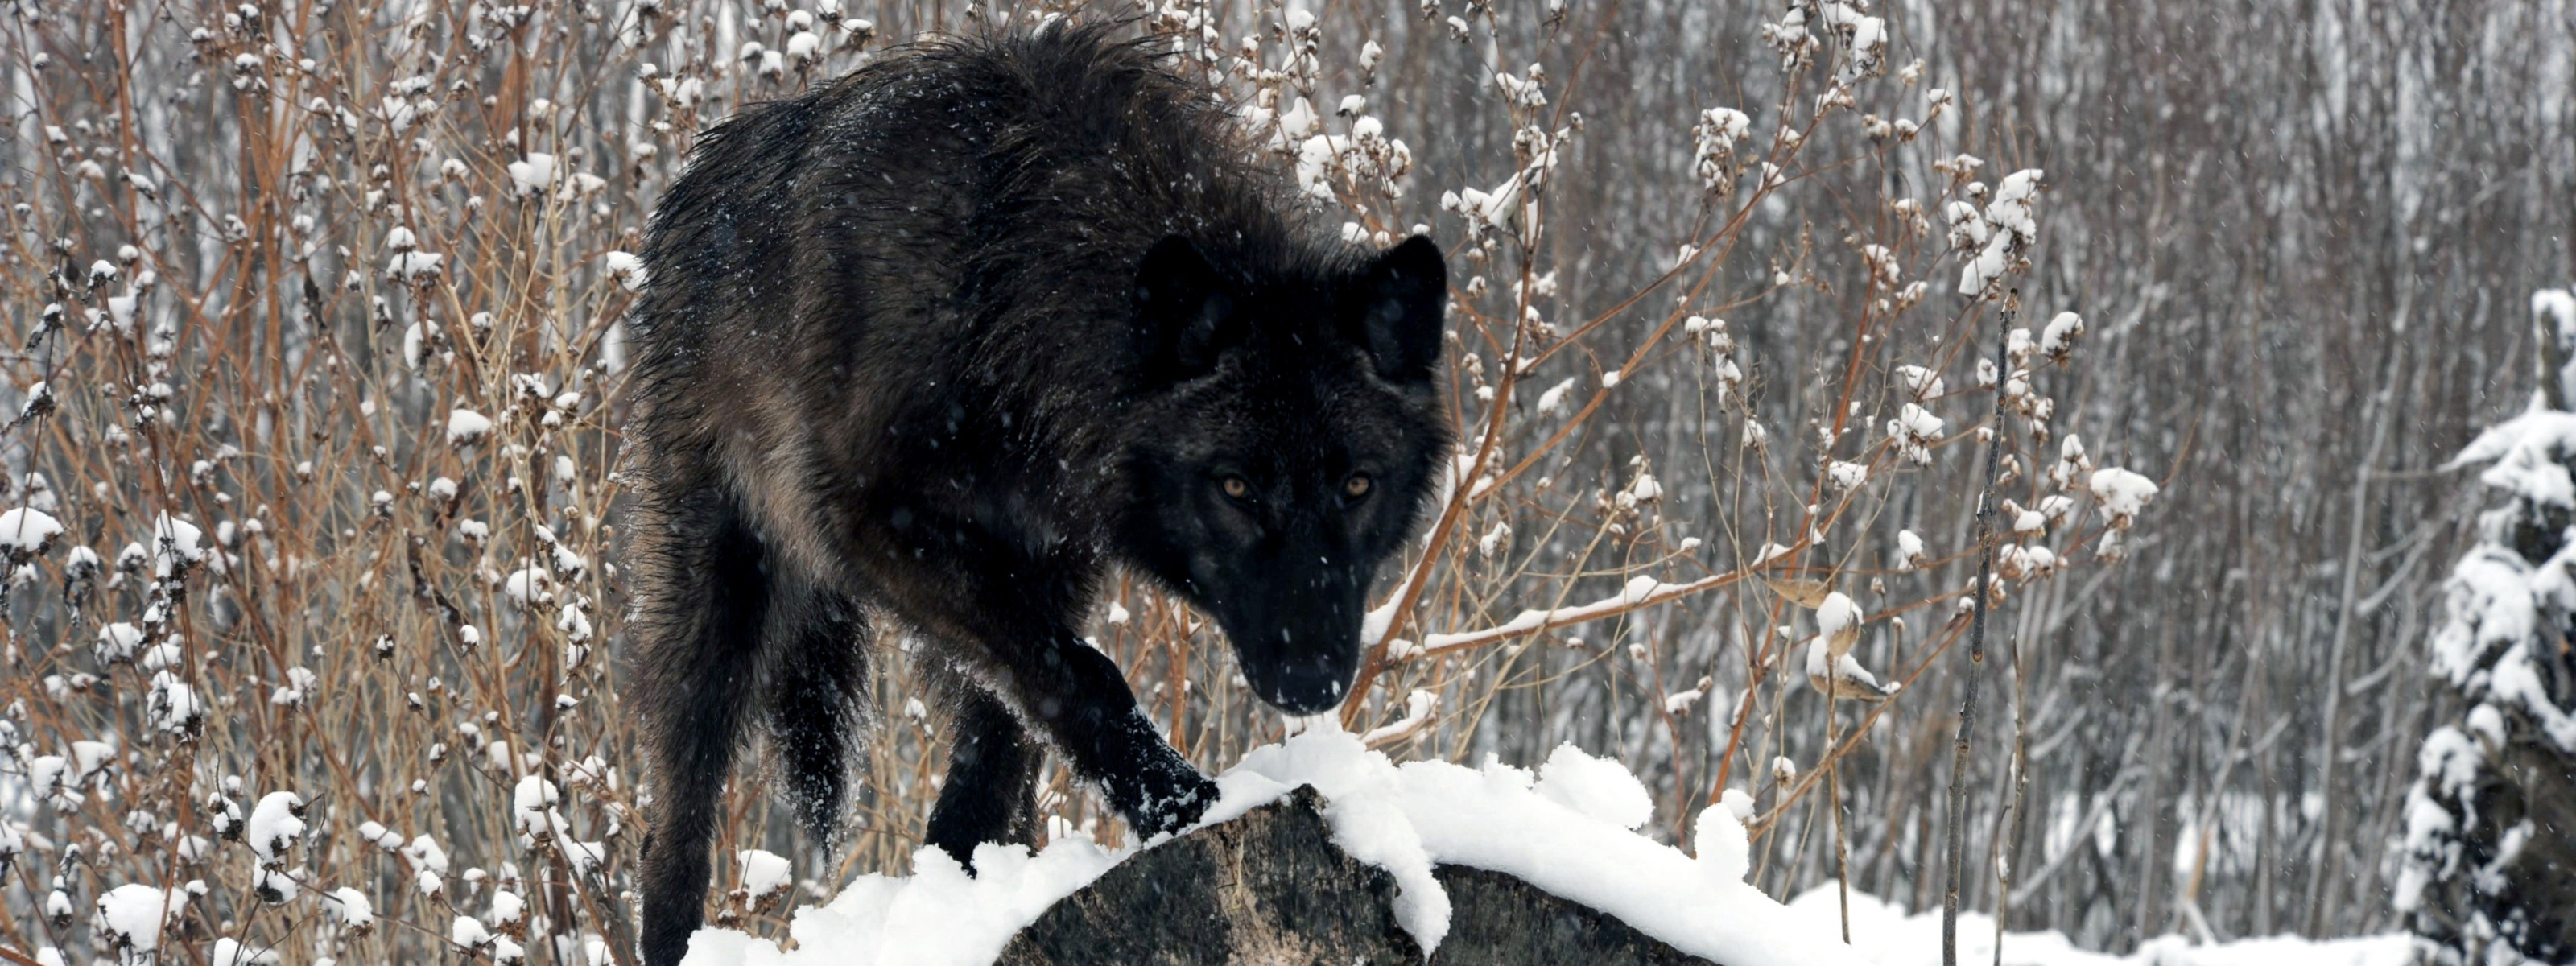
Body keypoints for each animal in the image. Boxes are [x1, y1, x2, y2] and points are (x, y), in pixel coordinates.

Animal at [621, 23, 1452, 966]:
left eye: (1357, 485)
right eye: (1236, 487)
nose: (1311, 679)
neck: (1010, 272)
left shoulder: (1051, 560)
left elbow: (1007, 738)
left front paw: (967, 889)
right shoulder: (875, 527)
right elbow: (1080, 675)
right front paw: (1179, 804)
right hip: (719, 601)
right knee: (675, 821)